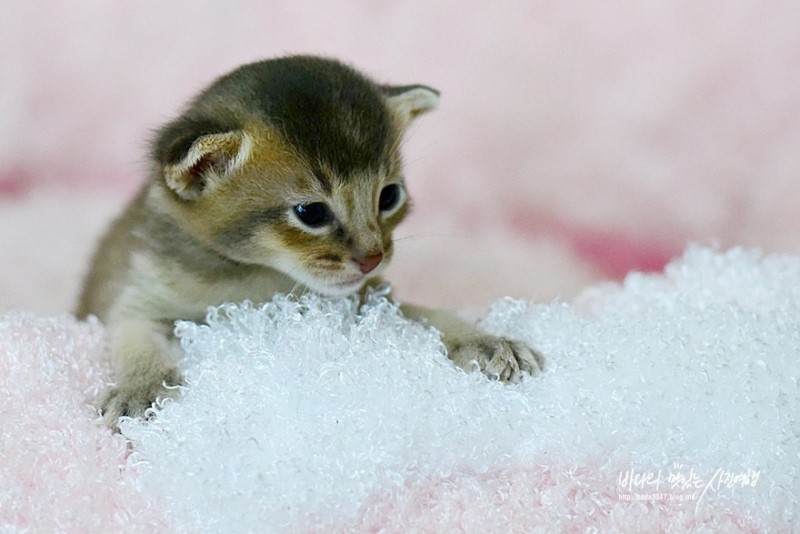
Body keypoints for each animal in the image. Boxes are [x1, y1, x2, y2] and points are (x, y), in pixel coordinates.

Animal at [76, 54, 544, 430]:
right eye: (311, 213)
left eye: (389, 196)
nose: (373, 258)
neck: (259, 275)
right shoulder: (141, 297)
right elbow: (133, 338)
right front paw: (143, 389)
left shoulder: (369, 299)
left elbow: (427, 314)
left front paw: (486, 341)